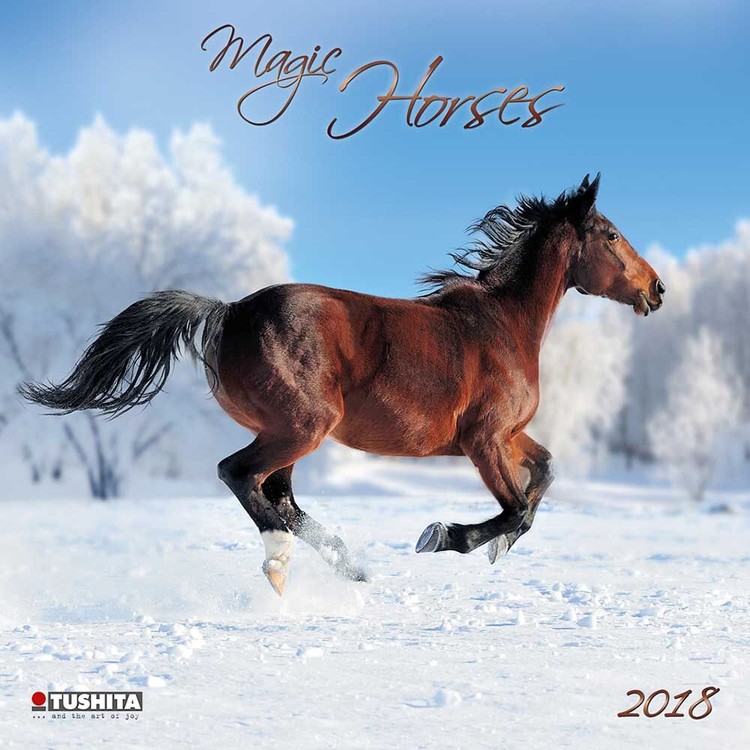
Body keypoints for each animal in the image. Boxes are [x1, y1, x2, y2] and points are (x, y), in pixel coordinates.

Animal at [20, 173, 664, 595]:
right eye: (610, 234)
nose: (656, 289)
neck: (503, 324)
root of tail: (228, 312)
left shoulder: (507, 436)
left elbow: (544, 476)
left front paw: (490, 548)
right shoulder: (484, 440)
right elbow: (516, 511)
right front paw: (442, 536)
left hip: (287, 432)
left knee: (278, 496)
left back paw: (346, 567)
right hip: (302, 426)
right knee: (241, 476)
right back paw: (284, 562)